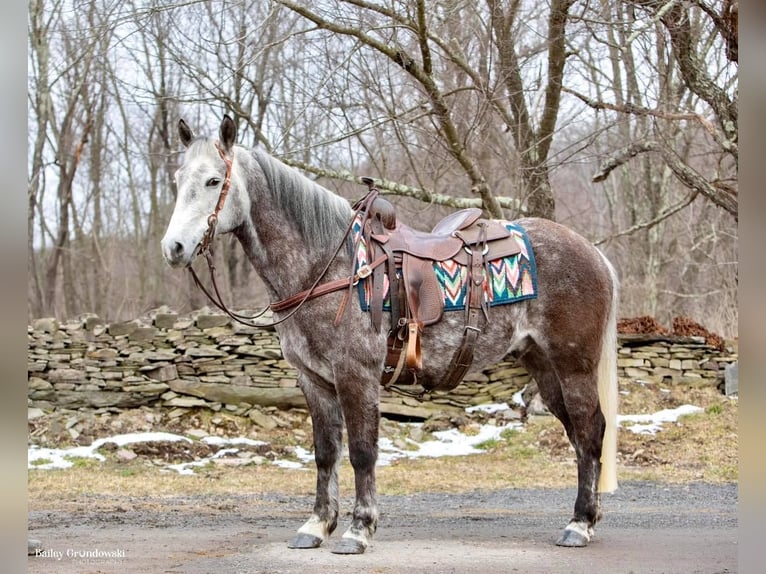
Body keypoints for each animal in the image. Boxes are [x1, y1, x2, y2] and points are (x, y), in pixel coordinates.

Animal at [159, 115, 620, 556]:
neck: (327, 266)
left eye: (213, 181)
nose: (174, 247)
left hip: (574, 365)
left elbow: (363, 453)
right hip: (543, 366)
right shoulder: (314, 381)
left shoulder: (356, 376)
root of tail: (593, 253)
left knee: (590, 431)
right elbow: (325, 453)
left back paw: (579, 524)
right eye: (178, 180)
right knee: (579, 435)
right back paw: (587, 517)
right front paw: (317, 526)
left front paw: (359, 530)